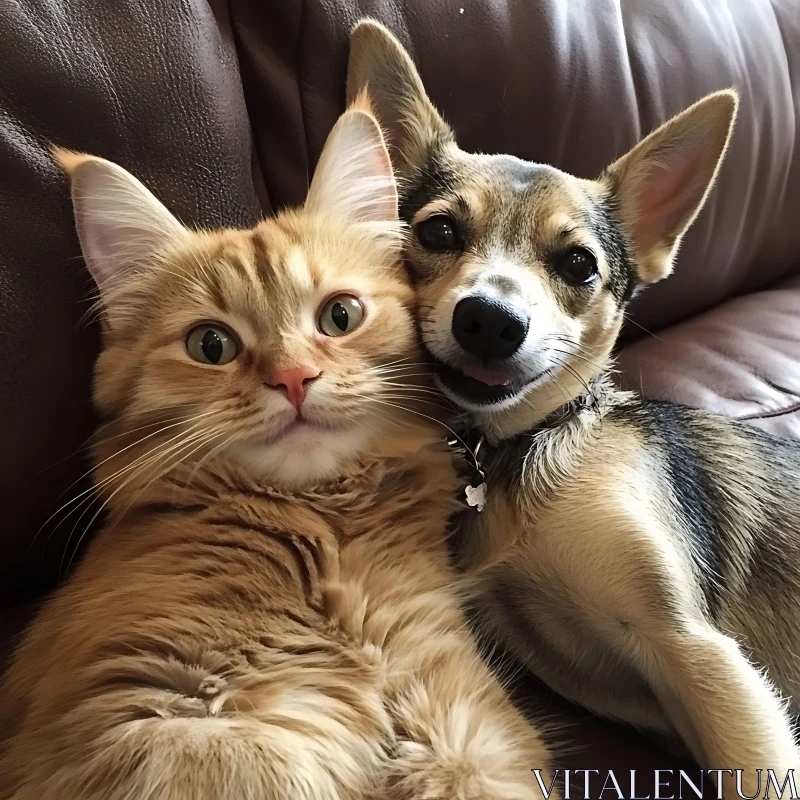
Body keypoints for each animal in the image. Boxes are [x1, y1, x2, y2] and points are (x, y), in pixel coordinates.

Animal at [0, 100, 552, 800]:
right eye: (211, 345)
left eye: (340, 316)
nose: (292, 378)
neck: (326, 547)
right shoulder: (125, 718)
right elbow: (264, 765)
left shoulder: (465, 720)